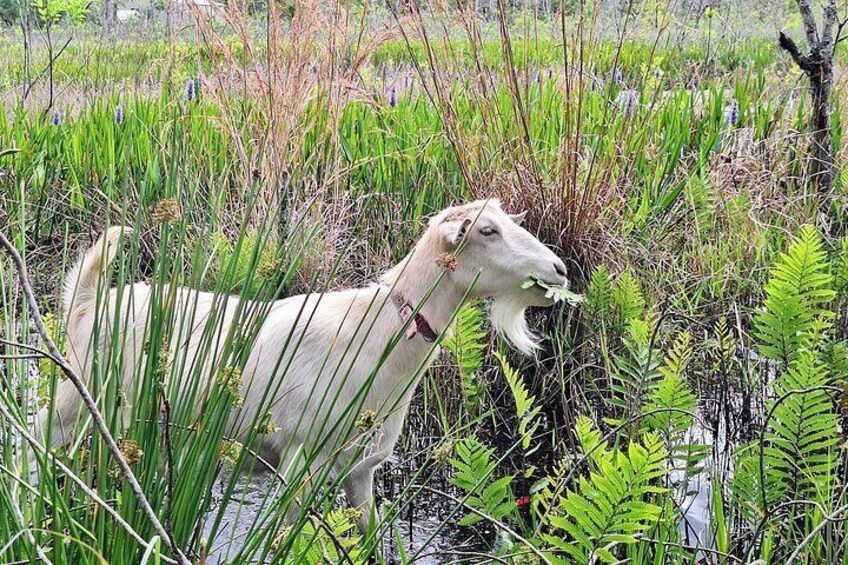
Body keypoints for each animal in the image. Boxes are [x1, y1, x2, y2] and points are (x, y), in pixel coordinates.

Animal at [43, 198, 568, 528]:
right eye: (487, 231)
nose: (560, 269)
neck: (378, 334)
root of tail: (86, 302)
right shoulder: (301, 459)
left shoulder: (361, 469)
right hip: (71, 408)